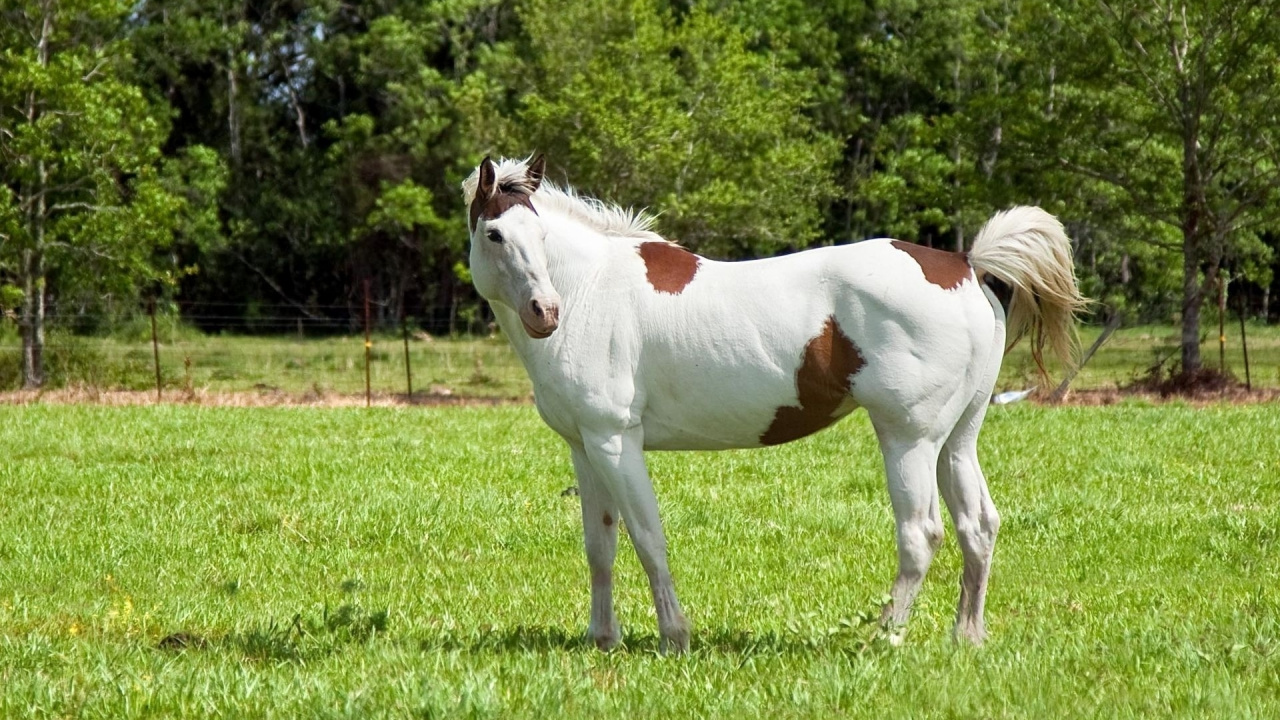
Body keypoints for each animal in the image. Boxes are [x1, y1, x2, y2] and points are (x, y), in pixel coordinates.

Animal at [462, 154, 1085, 653]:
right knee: (977, 526)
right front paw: (602, 638)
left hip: (909, 438)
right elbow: (601, 546)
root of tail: (964, 265)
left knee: (921, 533)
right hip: (957, 439)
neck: (592, 289)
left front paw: (674, 637)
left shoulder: (616, 442)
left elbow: (647, 538)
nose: (545, 312)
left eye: (539, 237)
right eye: (495, 234)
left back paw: (882, 637)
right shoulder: (584, 447)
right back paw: (966, 637)